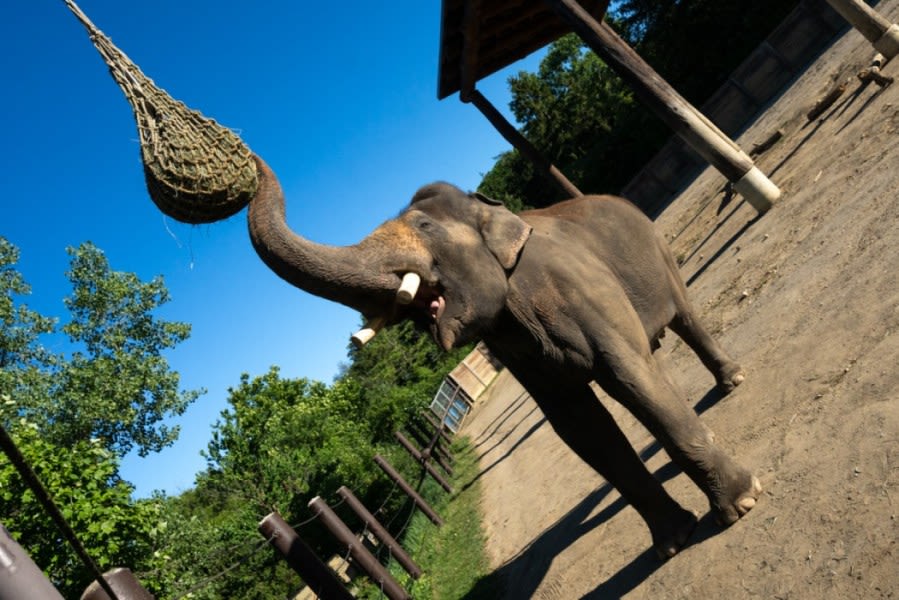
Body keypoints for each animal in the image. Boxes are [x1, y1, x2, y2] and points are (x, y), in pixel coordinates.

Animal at [244, 155, 760, 556]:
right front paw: (672, 541)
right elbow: (580, 426)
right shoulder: (518, 349)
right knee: (655, 357)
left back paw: (732, 381)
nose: (249, 160)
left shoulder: (578, 290)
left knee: (684, 319)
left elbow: (628, 377)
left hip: (656, 248)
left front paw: (740, 505)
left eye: (424, 227)